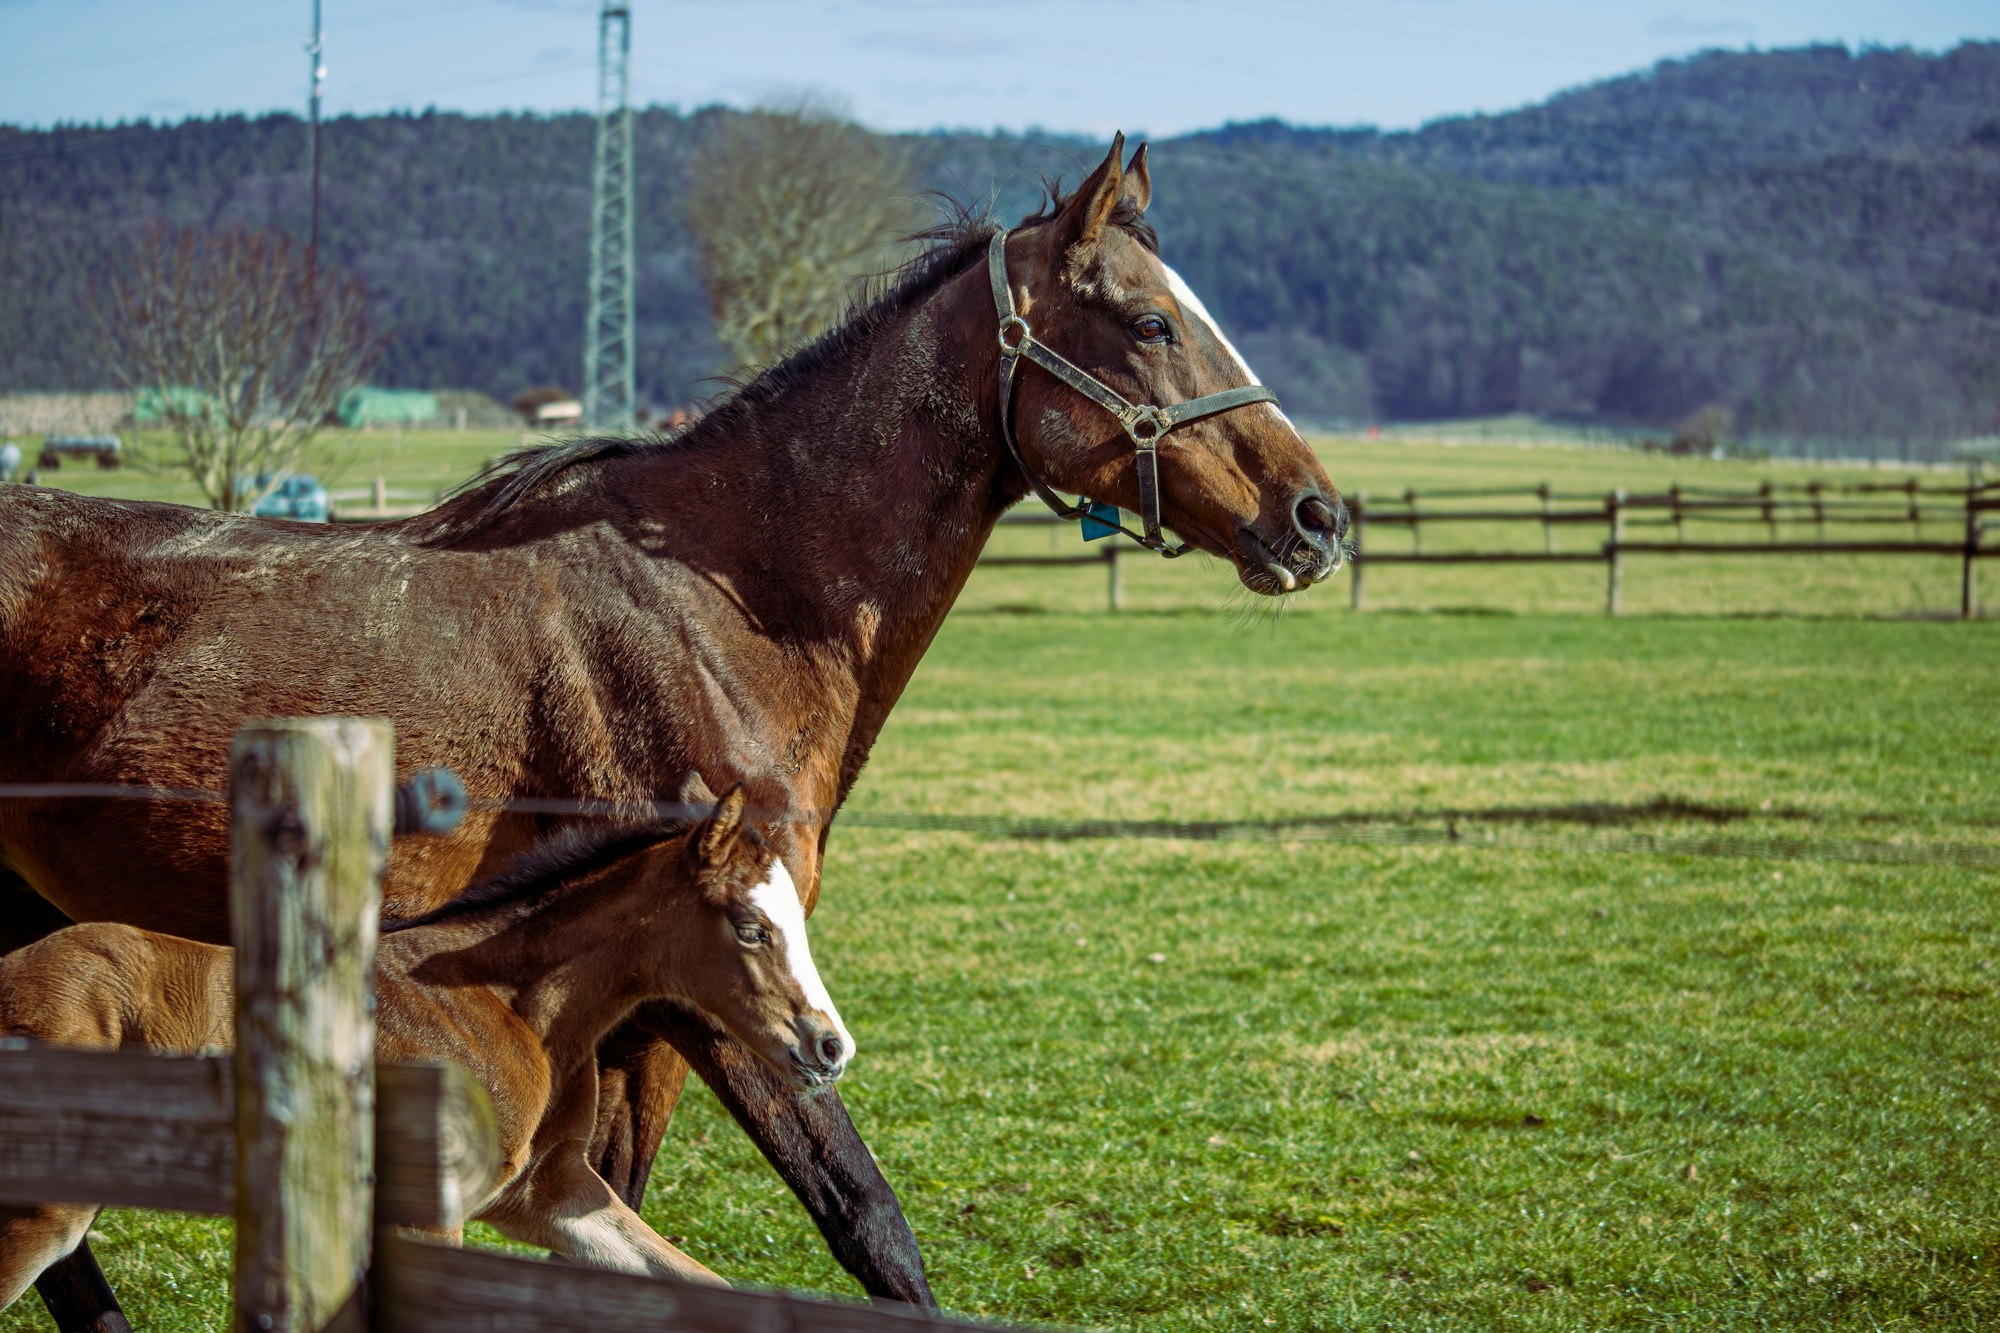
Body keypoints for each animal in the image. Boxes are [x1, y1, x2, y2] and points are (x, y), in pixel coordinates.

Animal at [0, 786, 848, 1305]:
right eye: (751, 927)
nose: (831, 1044)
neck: (508, 1005)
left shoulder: (547, 1195)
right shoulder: (426, 1213)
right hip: (47, 1207)